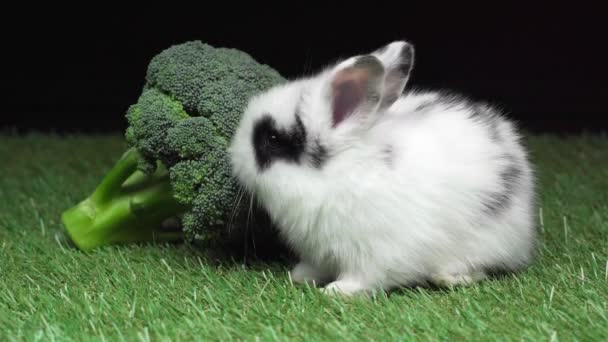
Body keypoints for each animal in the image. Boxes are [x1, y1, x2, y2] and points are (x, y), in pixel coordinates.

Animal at [227, 40, 536, 296]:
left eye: (272, 139)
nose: (233, 155)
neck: (335, 174)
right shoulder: (320, 251)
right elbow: (314, 267)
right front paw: (300, 276)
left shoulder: (378, 252)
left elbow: (366, 277)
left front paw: (337, 291)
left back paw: (448, 277)